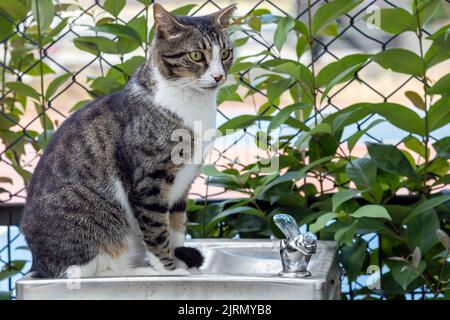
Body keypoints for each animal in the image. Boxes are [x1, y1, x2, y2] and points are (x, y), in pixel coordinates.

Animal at [20, 2, 236, 278]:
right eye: (197, 55)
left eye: (226, 53)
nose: (219, 76)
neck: (193, 106)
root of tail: (38, 263)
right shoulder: (150, 181)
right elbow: (156, 229)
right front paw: (168, 270)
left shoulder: (183, 184)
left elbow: (176, 227)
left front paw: (178, 261)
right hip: (92, 216)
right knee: (92, 269)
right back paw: (140, 270)